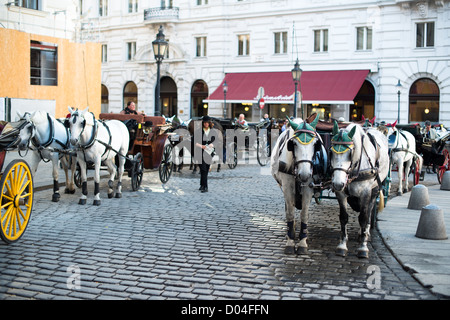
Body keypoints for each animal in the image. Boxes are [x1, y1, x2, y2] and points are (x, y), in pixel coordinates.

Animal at [270, 115, 324, 255]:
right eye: (293, 144)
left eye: (315, 144)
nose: (304, 174)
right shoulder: (287, 186)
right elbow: (290, 212)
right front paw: (290, 240)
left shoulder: (308, 188)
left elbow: (304, 213)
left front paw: (302, 241)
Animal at [328, 121, 388, 258]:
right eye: (331, 152)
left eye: (350, 154)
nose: (338, 183)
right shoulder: (341, 193)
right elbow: (343, 217)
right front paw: (342, 245)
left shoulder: (365, 192)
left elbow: (363, 218)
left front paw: (363, 248)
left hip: (374, 190)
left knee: (368, 211)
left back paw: (365, 234)